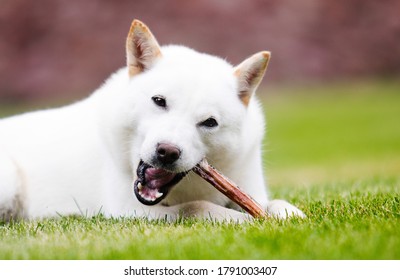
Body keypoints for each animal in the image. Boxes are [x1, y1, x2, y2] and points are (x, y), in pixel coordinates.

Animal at [0, 19, 304, 223]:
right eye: (159, 101)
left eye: (209, 123)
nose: (167, 152)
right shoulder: (128, 211)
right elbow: (198, 207)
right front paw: (246, 221)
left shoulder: (251, 189)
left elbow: (275, 204)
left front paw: (288, 217)